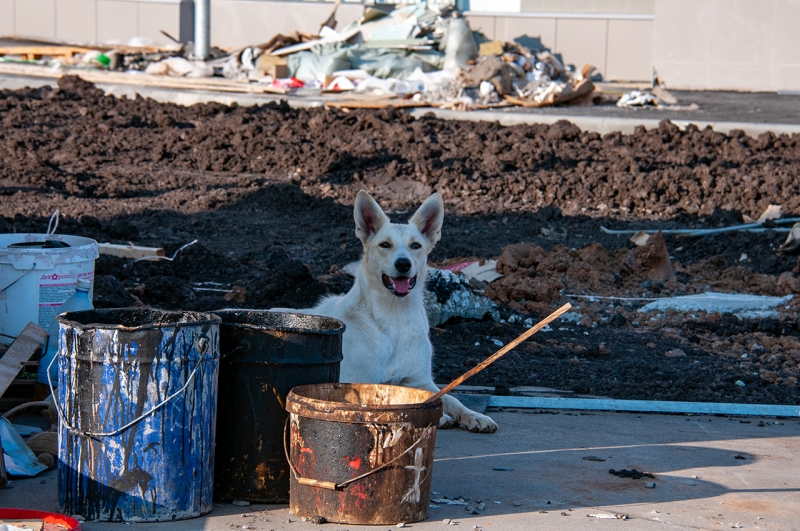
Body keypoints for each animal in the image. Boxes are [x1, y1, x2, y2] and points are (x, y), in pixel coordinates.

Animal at [290, 193, 496, 434]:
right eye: (385, 245)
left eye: (415, 245)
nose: (403, 264)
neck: (395, 319)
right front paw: (444, 417)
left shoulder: (421, 382)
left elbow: (451, 398)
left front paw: (474, 415)